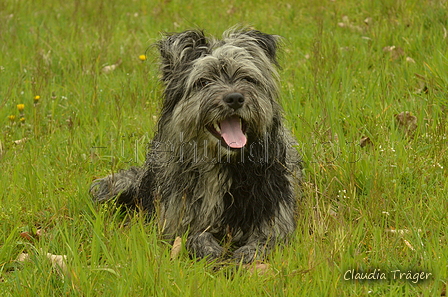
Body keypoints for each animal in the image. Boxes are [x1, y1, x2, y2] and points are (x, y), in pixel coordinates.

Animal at [89, 27, 302, 262]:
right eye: (203, 81)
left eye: (247, 78)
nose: (235, 98)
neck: (222, 163)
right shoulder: (177, 221)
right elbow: (194, 236)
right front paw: (209, 249)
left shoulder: (274, 216)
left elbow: (264, 242)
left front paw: (244, 256)